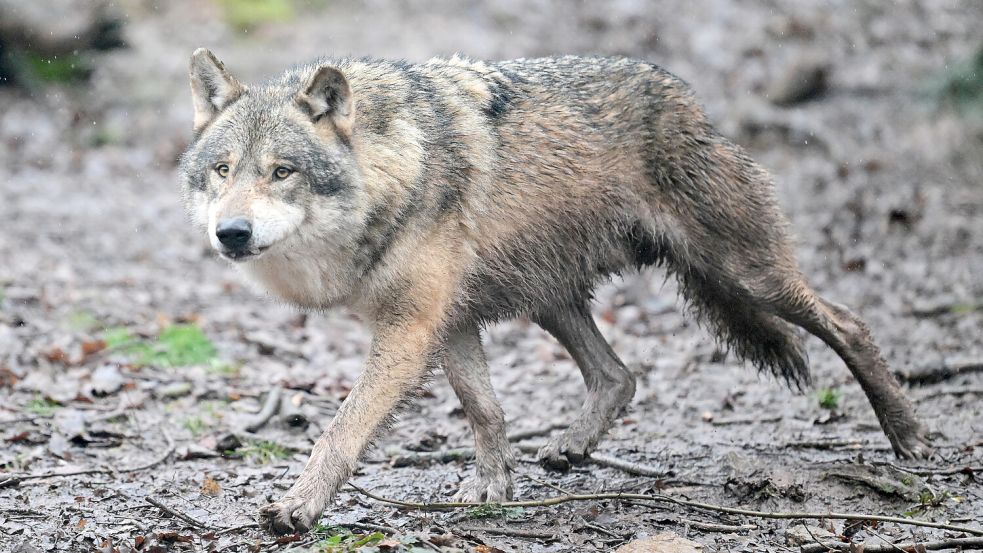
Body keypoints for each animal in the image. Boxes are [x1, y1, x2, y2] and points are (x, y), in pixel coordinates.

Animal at [179, 48, 930, 534]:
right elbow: (484, 410)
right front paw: (491, 488)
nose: (231, 233)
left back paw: (909, 437)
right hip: (550, 298)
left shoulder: (410, 329)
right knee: (619, 375)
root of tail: (689, 100)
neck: (393, 169)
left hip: (746, 274)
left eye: (282, 172)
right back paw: (570, 447)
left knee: (849, 322)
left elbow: (340, 430)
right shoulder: (448, 321)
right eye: (222, 170)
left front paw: (297, 507)